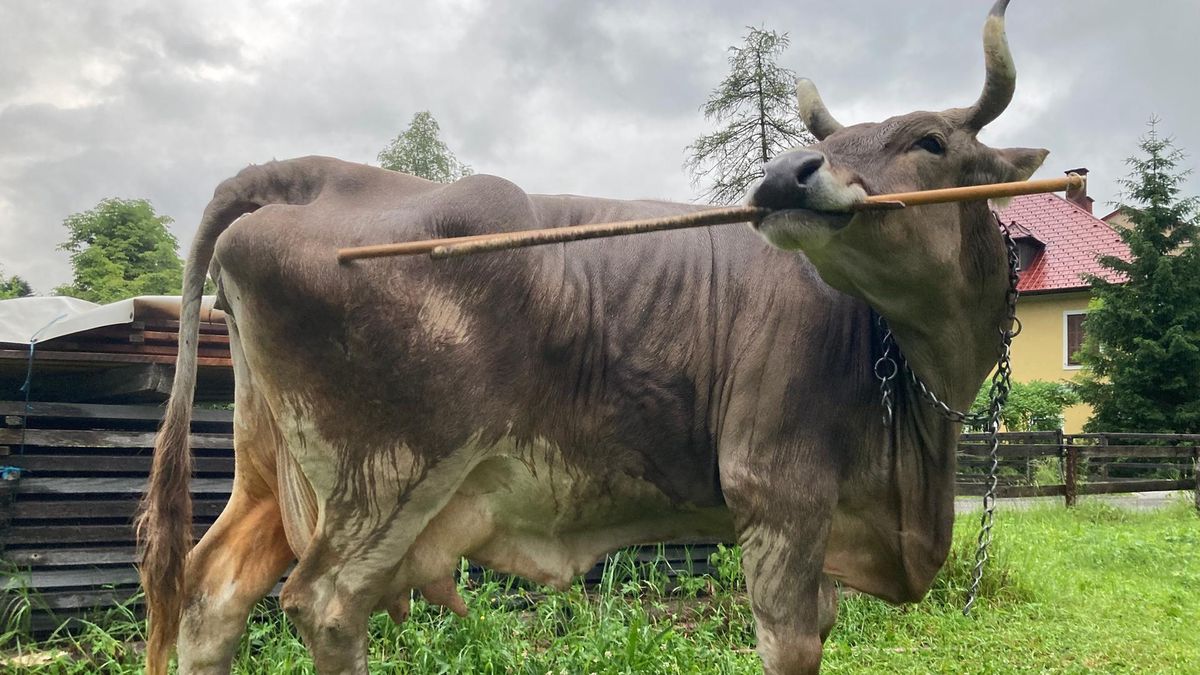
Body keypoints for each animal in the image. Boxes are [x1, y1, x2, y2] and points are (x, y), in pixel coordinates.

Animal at [137, 1, 1046, 672]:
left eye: (930, 140)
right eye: (831, 143)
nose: (785, 174)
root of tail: (315, 172)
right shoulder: (778, 495)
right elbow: (788, 644)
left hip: (272, 472)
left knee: (213, 592)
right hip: (389, 476)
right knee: (325, 603)